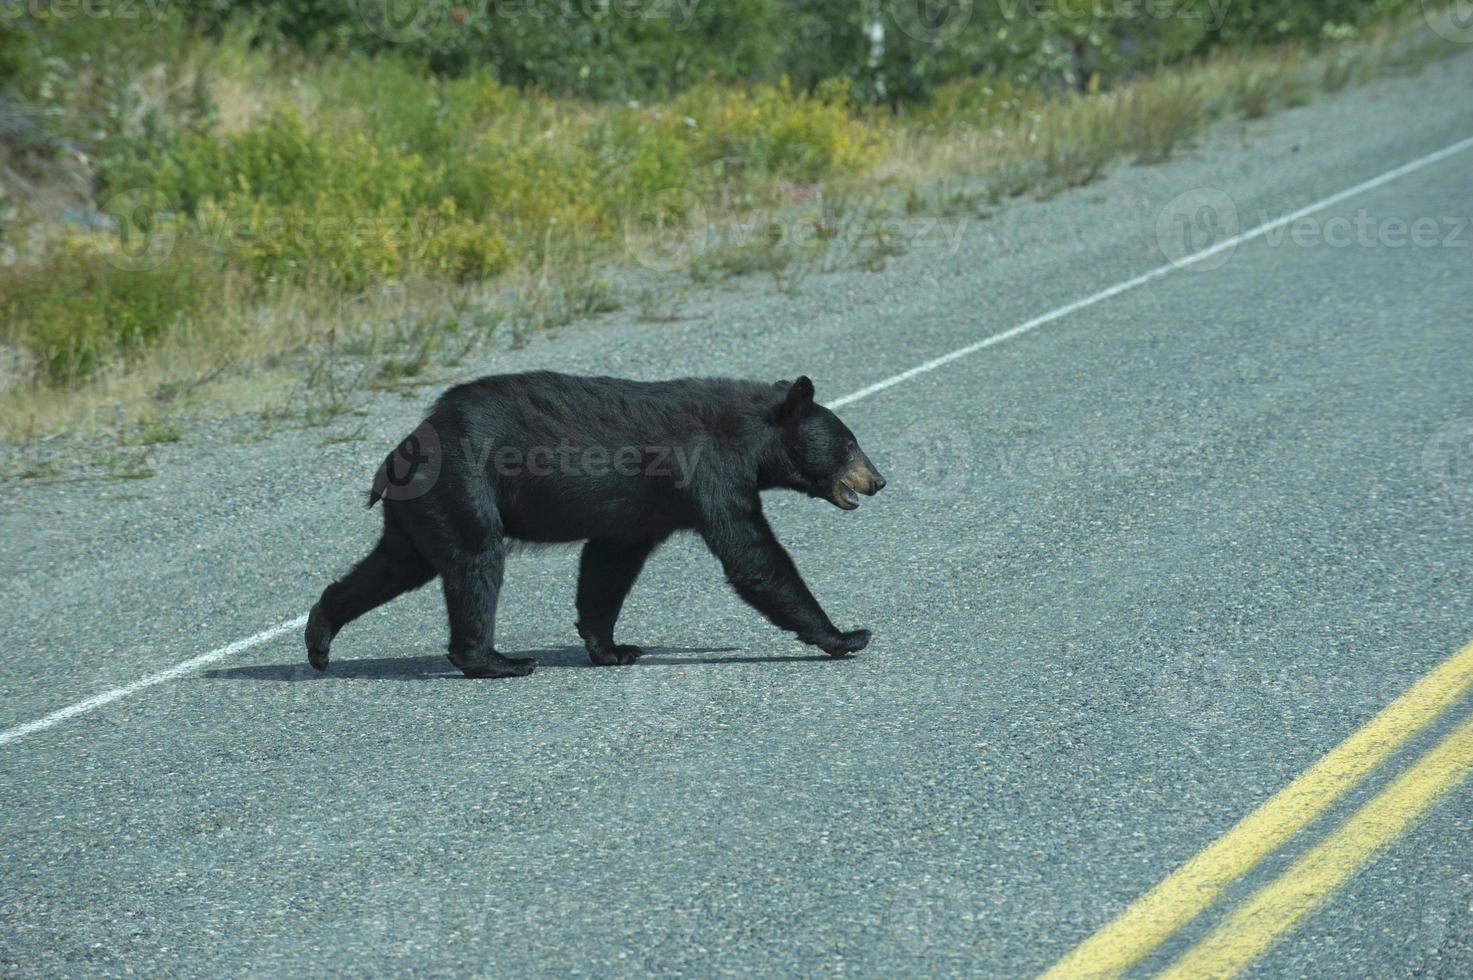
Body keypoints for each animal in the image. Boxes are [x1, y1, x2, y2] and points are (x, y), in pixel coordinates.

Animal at [303, 371, 877, 677]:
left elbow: (609, 565)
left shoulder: (643, 510)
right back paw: (496, 661)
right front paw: (846, 635)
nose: (879, 480)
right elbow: (752, 556)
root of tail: (401, 452)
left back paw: (319, 638)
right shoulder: (709, 472)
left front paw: (612, 648)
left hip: (424, 509)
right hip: (463, 488)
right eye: (850, 444)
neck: (752, 440)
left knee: (396, 564)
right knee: (475, 563)